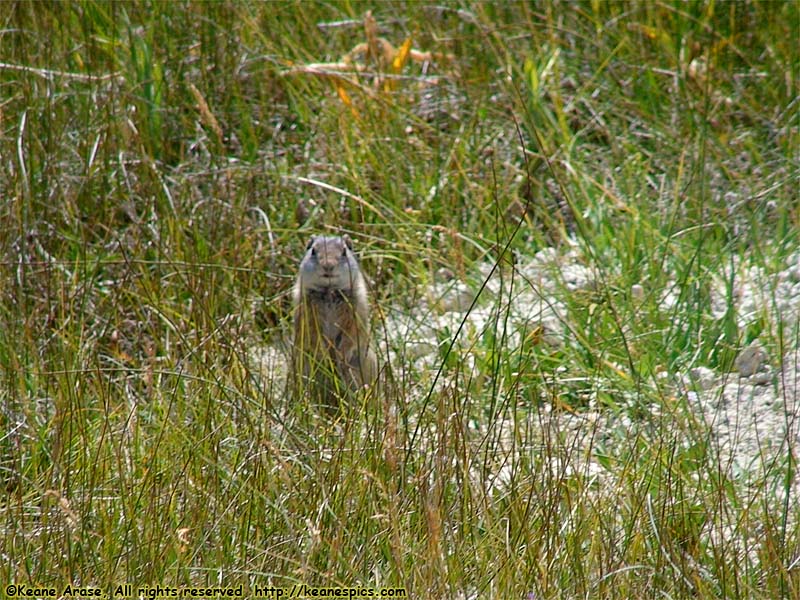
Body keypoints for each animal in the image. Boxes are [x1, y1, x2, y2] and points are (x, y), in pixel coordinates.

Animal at [292, 236, 380, 404]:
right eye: (313, 251)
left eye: (344, 251)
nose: (328, 266)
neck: (329, 292)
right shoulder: (306, 312)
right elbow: (313, 334)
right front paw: (324, 356)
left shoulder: (356, 310)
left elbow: (352, 333)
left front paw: (341, 357)